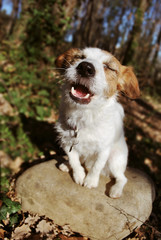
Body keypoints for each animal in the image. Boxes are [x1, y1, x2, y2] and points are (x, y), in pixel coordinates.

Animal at [55, 47, 140, 199]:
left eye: (108, 67)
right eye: (80, 57)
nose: (85, 67)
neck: (84, 116)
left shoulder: (104, 149)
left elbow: (97, 166)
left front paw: (91, 181)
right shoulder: (67, 142)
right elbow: (74, 160)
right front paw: (79, 174)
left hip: (114, 161)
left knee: (122, 178)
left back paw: (116, 190)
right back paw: (66, 165)